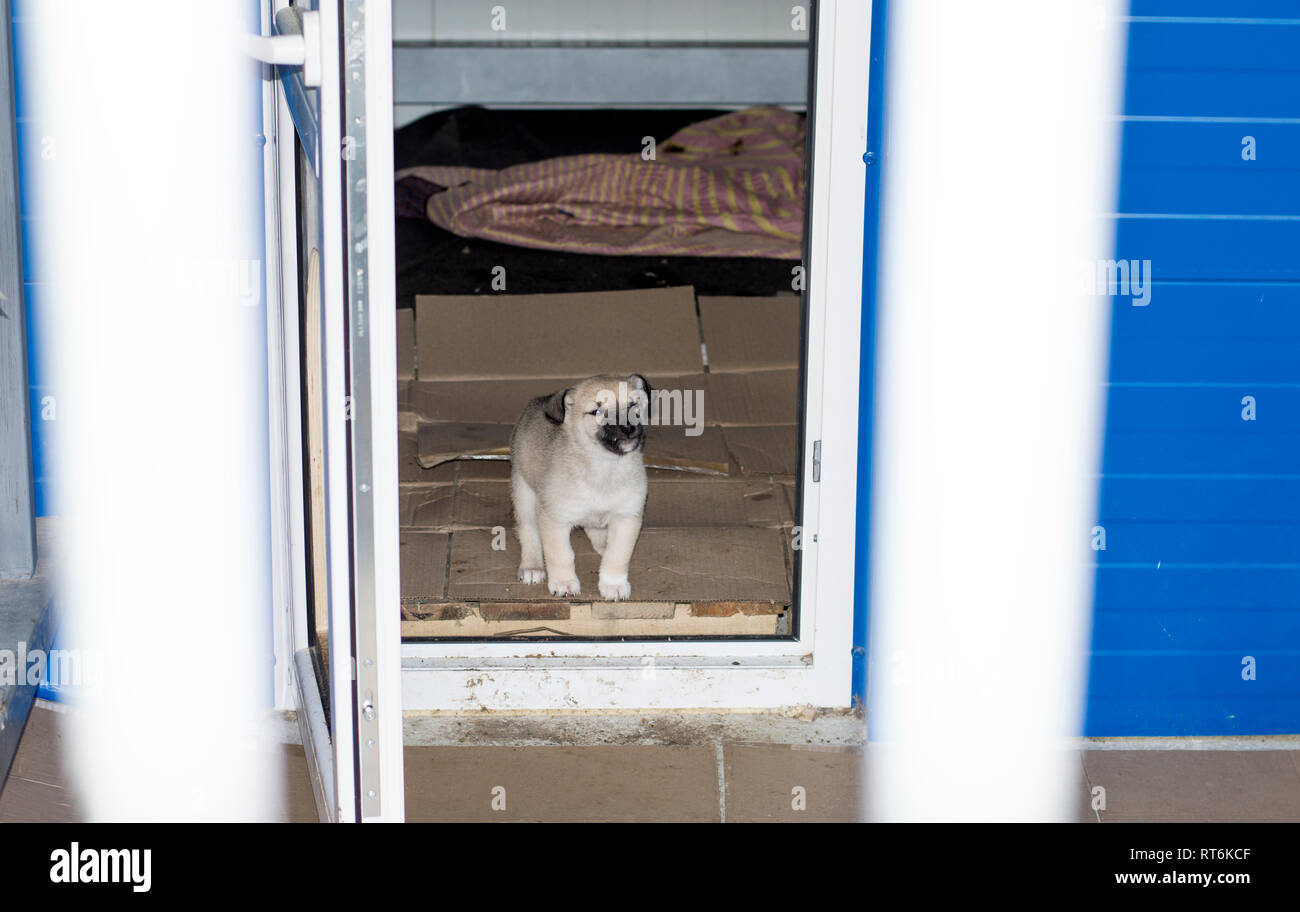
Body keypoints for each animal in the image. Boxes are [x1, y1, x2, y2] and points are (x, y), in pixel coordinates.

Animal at [506, 371, 650, 600]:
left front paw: (613, 584)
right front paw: (564, 582)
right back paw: (532, 566)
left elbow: (617, 555)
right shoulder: (555, 521)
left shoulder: (627, 517)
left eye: (633, 405)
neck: (605, 467)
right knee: (528, 531)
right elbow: (561, 555)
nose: (628, 427)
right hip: (524, 494)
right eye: (597, 411)